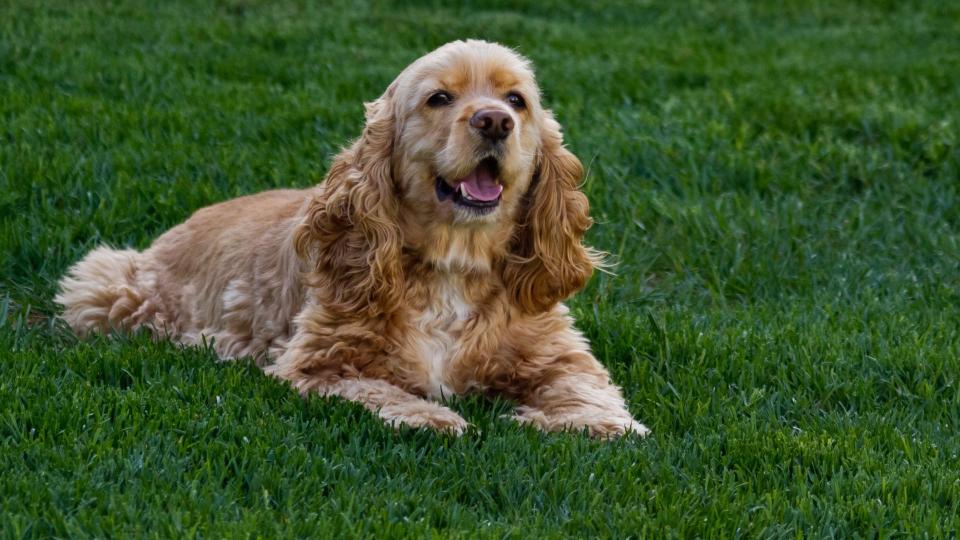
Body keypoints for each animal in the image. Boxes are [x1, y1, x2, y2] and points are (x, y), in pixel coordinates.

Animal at [58, 42, 652, 438]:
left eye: (517, 100)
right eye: (439, 98)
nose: (494, 121)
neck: (454, 264)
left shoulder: (557, 352)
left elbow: (586, 388)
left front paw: (596, 424)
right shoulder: (320, 361)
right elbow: (378, 388)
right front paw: (433, 416)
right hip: (111, 289)